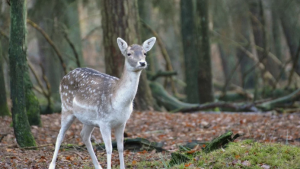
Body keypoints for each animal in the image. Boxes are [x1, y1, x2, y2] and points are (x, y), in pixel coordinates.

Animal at [48, 37, 156, 169]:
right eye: (129, 53)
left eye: (145, 53)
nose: (142, 63)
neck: (118, 102)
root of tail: (63, 78)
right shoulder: (104, 121)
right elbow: (109, 149)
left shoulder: (122, 122)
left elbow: (121, 147)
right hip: (66, 107)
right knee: (60, 135)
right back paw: (51, 165)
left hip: (88, 119)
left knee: (84, 135)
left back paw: (98, 166)